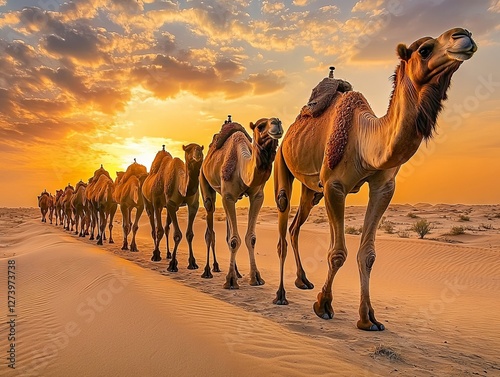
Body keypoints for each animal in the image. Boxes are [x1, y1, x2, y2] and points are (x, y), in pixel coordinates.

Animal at [200, 116, 286, 286]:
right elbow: (234, 240)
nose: (277, 122)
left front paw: (256, 278)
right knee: (209, 227)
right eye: (260, 126)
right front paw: (230, 281)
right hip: (204, 180)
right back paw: (208, 271)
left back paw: (237, 272)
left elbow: (250, 238)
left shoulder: (257, 196)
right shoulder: (228, 196)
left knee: (227, 234)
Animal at [274, 27, 476, 328]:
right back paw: (280, 295)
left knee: (295, 226)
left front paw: (368, 318)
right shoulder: (335, 185)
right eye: (425, 49)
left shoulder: (382, 187)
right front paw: (324, 305)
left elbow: (367, 254)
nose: (463, 35)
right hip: (283, 164)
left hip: (314, 190)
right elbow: (337, 253)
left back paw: (302, 280)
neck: (364, 140)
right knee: (283, 220)